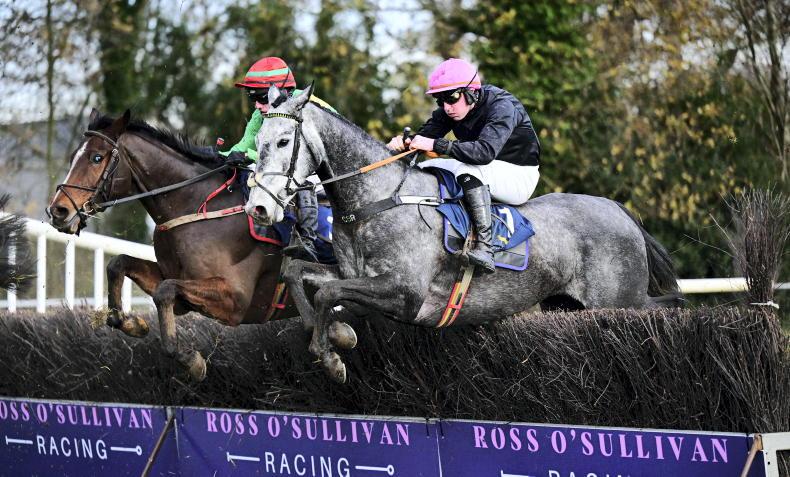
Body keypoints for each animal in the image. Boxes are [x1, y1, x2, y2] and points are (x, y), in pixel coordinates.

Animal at [47, 109, 355, 381]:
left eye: (97, 157)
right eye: (74, 157)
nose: (58, 211)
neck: (195, 206)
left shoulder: (236, 300)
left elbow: (164, 291)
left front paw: (191, 360)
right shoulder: (181, 290)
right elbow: (119, 264)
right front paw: (132, 323)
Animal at [244, 84, 680, 383]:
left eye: (283, 141)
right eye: (259, 142)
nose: (258, 208)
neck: (378, 199)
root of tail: (617, 209)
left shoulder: (405, 293)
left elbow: (329, 293)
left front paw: (333, 354)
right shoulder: (357, 276)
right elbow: (297, 273)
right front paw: (332, 333)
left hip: (620, 301)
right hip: (566, 305)